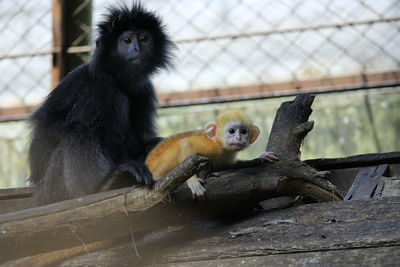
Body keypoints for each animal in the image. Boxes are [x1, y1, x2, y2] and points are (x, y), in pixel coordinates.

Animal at [26, 2, 173, 205]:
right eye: (126, 40)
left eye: (144, 39)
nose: (137, 48)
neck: (116, 77)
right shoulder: (98, 84)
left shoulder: (144, 89)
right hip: (52, 187)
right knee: (80, 129)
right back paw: (106, 184)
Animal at [145, 110, 280, 200]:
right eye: (231, 131)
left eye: (243, 131)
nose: (238, 138)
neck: (219, 145)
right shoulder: (209, 145)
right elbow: (185, 145)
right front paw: (193, 181)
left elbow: (228, 164)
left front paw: (260, 157)